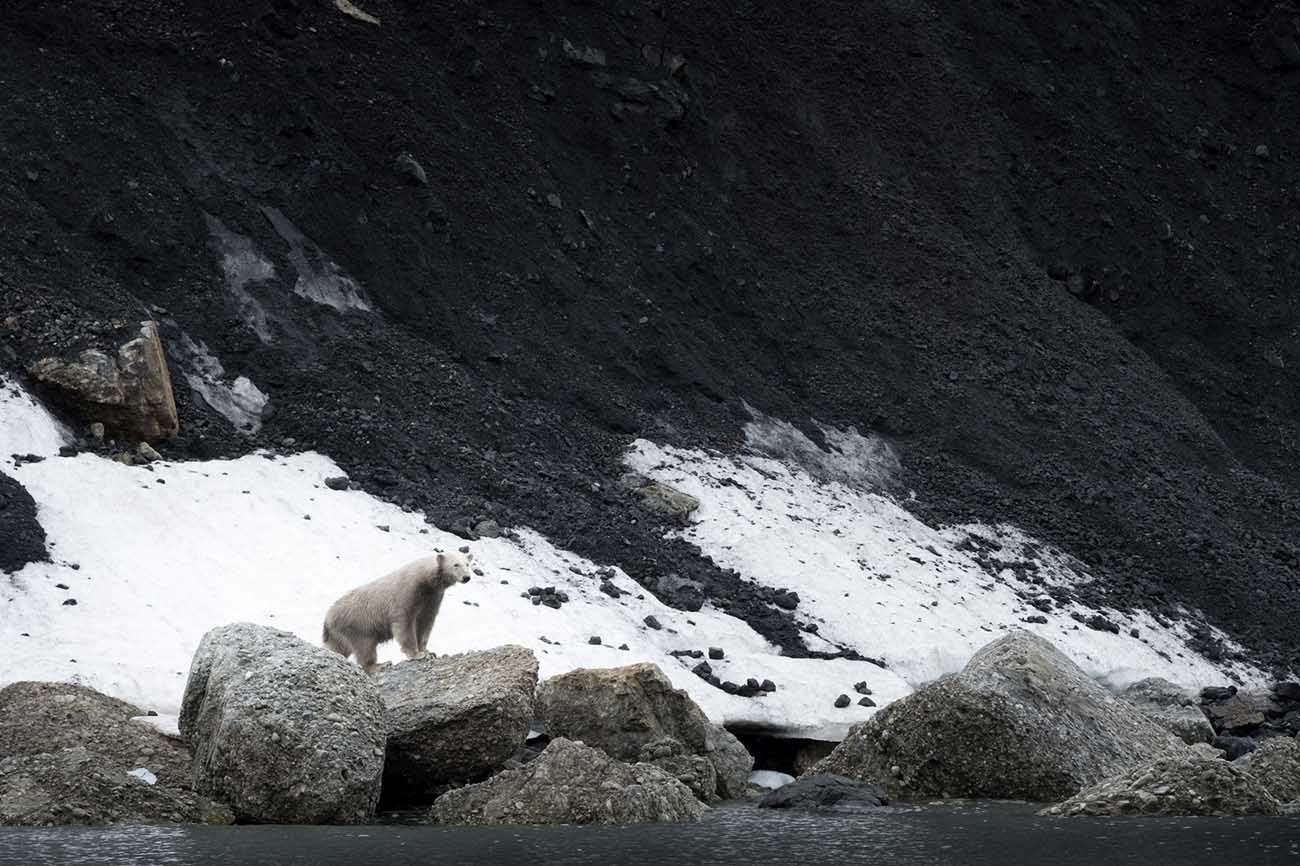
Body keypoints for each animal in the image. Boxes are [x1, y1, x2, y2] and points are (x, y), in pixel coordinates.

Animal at [323, 548, 475, 670]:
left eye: (467, 564)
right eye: (456, 564)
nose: (467, 577)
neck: (424, 579)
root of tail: (328, 617)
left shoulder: (433, 597)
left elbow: (425, 622)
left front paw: (428, 652)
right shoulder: (406, 593)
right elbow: (404, 623)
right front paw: (417, 654)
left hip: (339, 633)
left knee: (337, 647)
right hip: (358, 624)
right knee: (365, 646)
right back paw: (380, 665)